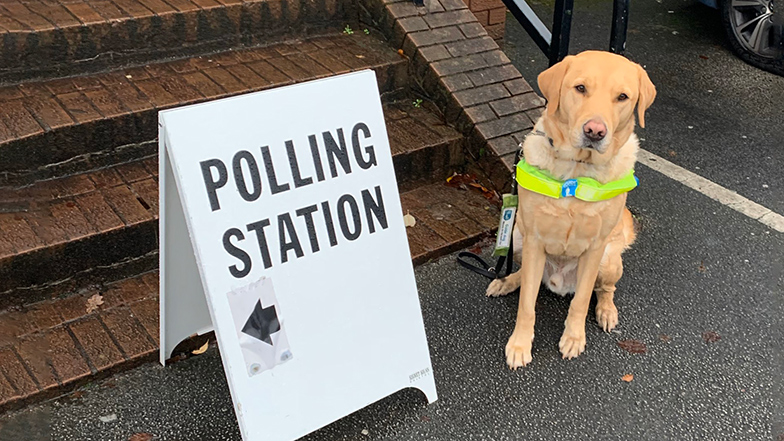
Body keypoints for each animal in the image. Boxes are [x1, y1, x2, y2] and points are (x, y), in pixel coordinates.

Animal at [485, 51, 656, 369]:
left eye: (622, 97)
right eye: (580, 88)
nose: (595, 131)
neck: (577, 172)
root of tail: (558, 282)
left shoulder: (595, 247)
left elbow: (581, 301)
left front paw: (574, 338)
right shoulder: (535, 240)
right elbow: (527, 304)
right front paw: (520, 344)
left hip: (609, 260)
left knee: (605, 290)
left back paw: (606, 311)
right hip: (517, 236)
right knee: (524, 274)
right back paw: (506, 282)